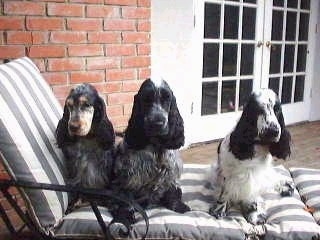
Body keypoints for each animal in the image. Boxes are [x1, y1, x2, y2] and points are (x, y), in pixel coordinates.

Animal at [112, 77, 190, 221]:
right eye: (146, 99)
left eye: (167, 99)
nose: (157, 123)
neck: (155, 145)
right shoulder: (127, 176)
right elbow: (126, 198)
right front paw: (124, 215)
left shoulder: (170, 171)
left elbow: (173, 191)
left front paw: (179, 206)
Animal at [209, 88, 294, 225]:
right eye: (259, 109)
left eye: (277, 110)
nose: (273, 131)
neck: (257, 146)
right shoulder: (227, 173)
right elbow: (225, 192)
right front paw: (219, 209)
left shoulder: (255, 176)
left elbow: (252, 195)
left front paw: (255, 214)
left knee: (274, 177)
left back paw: (286, 186)